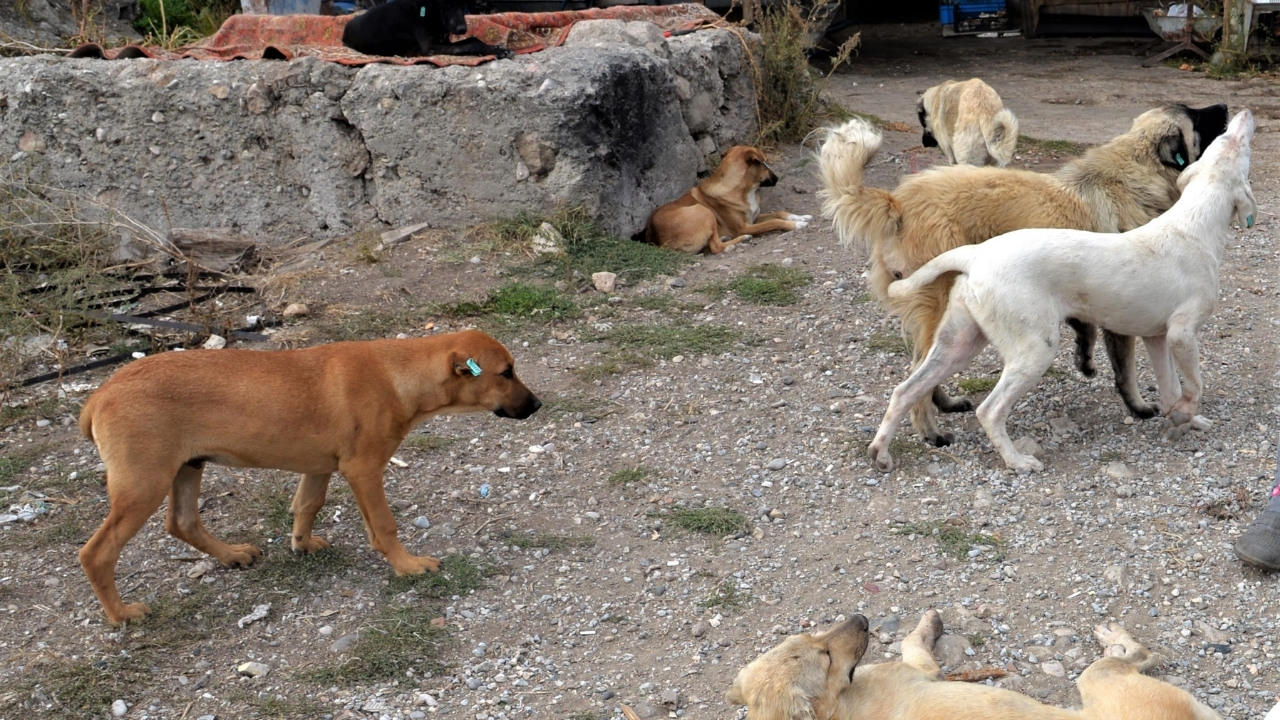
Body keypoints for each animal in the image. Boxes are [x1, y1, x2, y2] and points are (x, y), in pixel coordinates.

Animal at [78, 327, 540, 620]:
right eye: (506, 373)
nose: (536, 405)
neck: (397, 375)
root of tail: (100, 395)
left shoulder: (319, 468)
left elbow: (307, 505)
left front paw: (302, 544)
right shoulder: (364, 470)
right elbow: (384, 526)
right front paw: (407, 566)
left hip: (187, 467)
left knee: (183, 522)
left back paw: (232, 555)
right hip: (144, 484)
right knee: (97, 552)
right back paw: (122, 614)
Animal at [345, 0, 514, 58]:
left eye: (463, 2)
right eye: (445, 3)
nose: (462, 29)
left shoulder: (444, 40)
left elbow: (471, 39)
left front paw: (496, 47)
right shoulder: (429, 48)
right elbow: (469, 44)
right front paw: (496, 51)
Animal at [640, 144, 808, 253]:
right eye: (764, 163)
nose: (777, 178)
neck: (744, 190)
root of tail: (656, 239)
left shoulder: (753, 218)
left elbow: (779, 212)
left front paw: (800, 217)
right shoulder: (744, 227)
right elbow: (774, 222)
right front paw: (796, 225)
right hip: (703, 211)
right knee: (716, 247)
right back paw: (739, 240)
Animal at [865, 107, 1254, 471]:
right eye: (1236, 144)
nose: (1245, 114)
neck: (1192, 224)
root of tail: (975, 255)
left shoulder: (1157, 338)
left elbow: (1171, 388)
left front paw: (1185, 419)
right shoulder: (1181, 335)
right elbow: (1193, 384)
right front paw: (1186, 414)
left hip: (958, 344)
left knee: (905, 391)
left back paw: (881, 451)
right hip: (1034, 350)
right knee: (989, 410)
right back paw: (1016, 461)